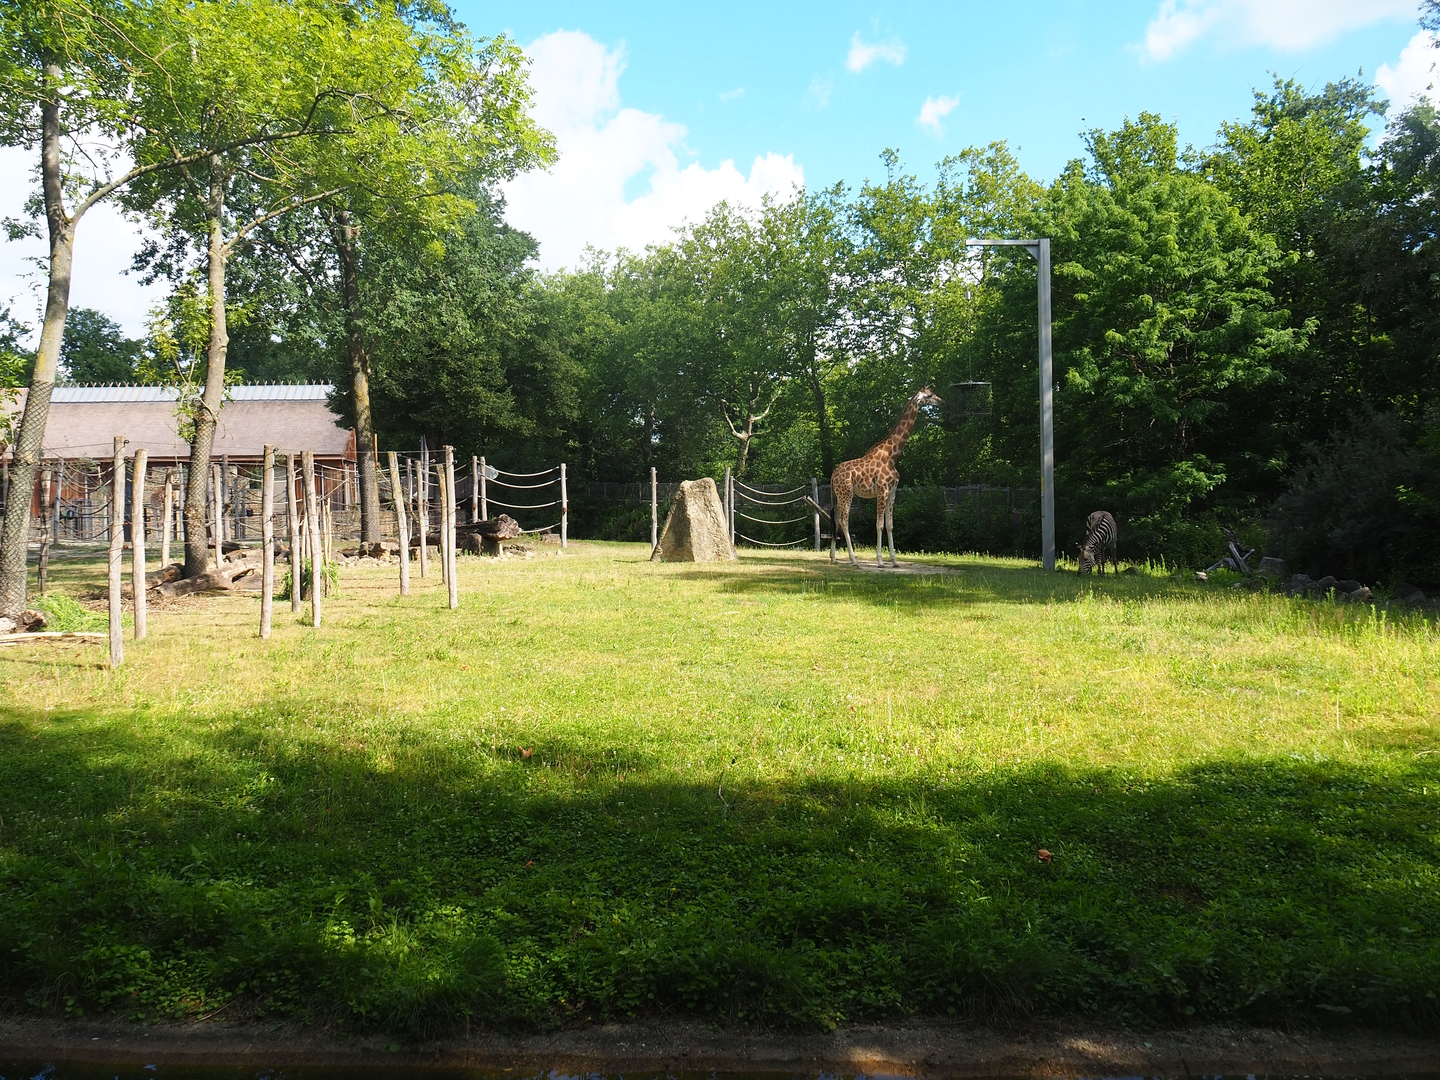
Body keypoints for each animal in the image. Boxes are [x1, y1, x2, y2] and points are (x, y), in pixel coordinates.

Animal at [830, 386, 943, 567]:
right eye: (930, 395)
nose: (942, 401)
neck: (892, 456)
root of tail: (833, 475)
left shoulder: (892, 493)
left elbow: (890, 525)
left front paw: (895, 560)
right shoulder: (882, 491)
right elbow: (879, 525)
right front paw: (880, 561)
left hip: (840, 495)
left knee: (835, 518)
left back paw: (833, 558)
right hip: (847, 493)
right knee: (844, 521)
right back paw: (854, 560)